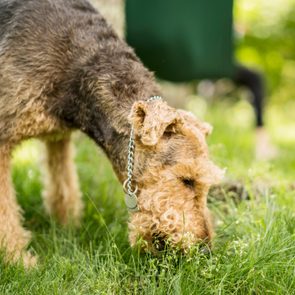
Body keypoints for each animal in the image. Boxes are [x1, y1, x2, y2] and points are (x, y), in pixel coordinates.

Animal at [0, 0, 223, 268]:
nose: (205, 250)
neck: (77, 62)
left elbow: (64, 186)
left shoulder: (58, 137)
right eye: (187, 180)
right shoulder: (2, 136)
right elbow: (6, 213)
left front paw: (67, 227)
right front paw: (17, 260)